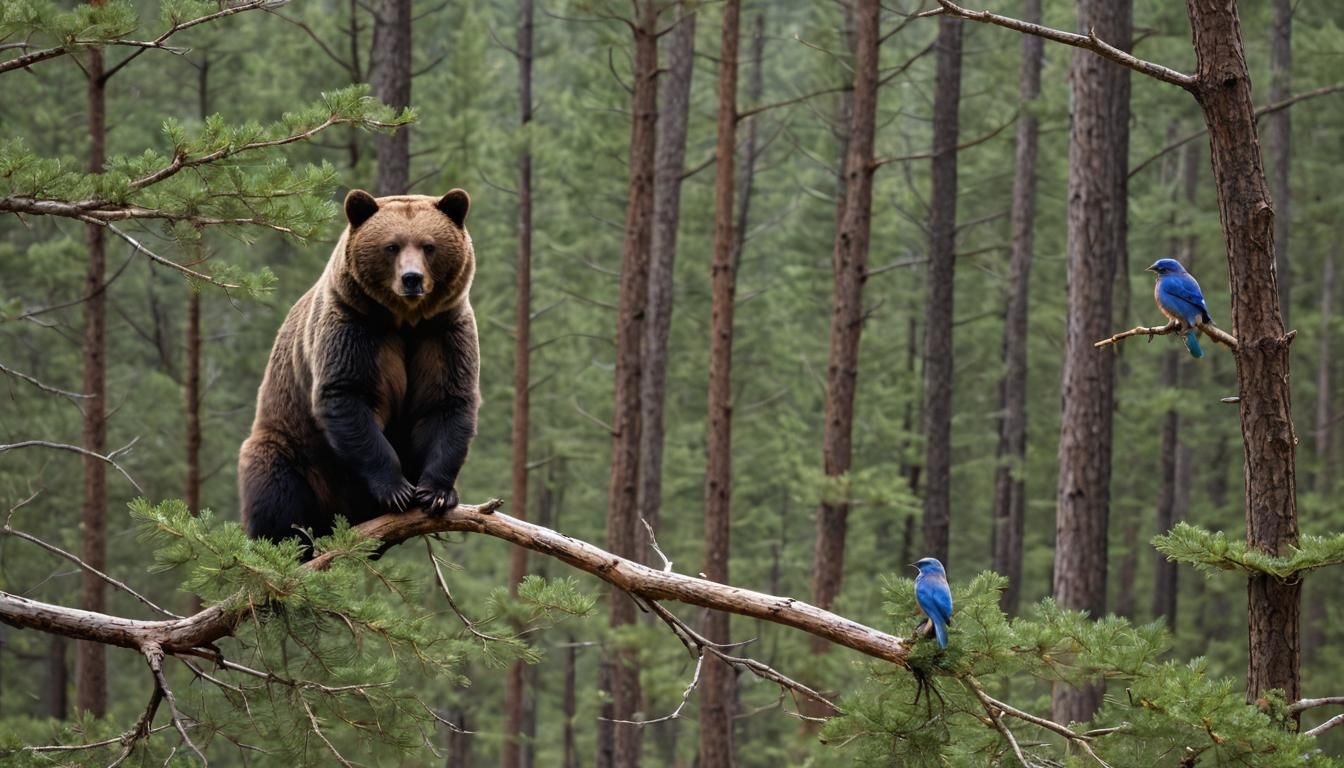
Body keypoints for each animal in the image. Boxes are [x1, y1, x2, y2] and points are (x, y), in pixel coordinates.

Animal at [238, 188, 480, 551]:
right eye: (391, 246)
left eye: (429, 245)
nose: (412, 279)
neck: (404, 320)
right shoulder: (354, 325)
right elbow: (348, 396)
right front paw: (396, 490)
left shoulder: (442, 331)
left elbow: (446, 402)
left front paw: (436, 493)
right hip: (295, 448)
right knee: (274, 485)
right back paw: (290, 546)